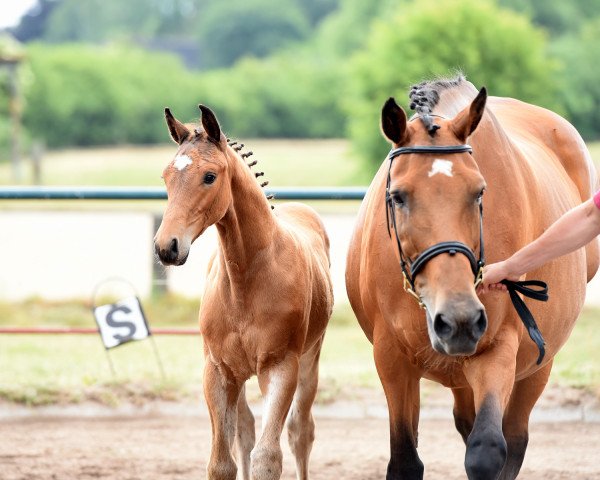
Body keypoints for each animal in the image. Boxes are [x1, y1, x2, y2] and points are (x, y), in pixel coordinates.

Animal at [154, 105, 332, 480]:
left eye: (209, 176)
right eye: (166, 176)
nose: (167, 247)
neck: (245, 283)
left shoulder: (280, 368)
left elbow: (269, 457)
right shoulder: (218, 371)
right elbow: (222, 461)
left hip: (311, 359)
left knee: (301, 431)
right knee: (245, 429)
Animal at [344, 77, 596, 478]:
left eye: (479, 192)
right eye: (398, 196)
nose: (459, 320)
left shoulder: (498, 348)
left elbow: (488, 450)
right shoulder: (390, 357)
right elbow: (405, 461)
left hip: (536, 366)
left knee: (514, 437)